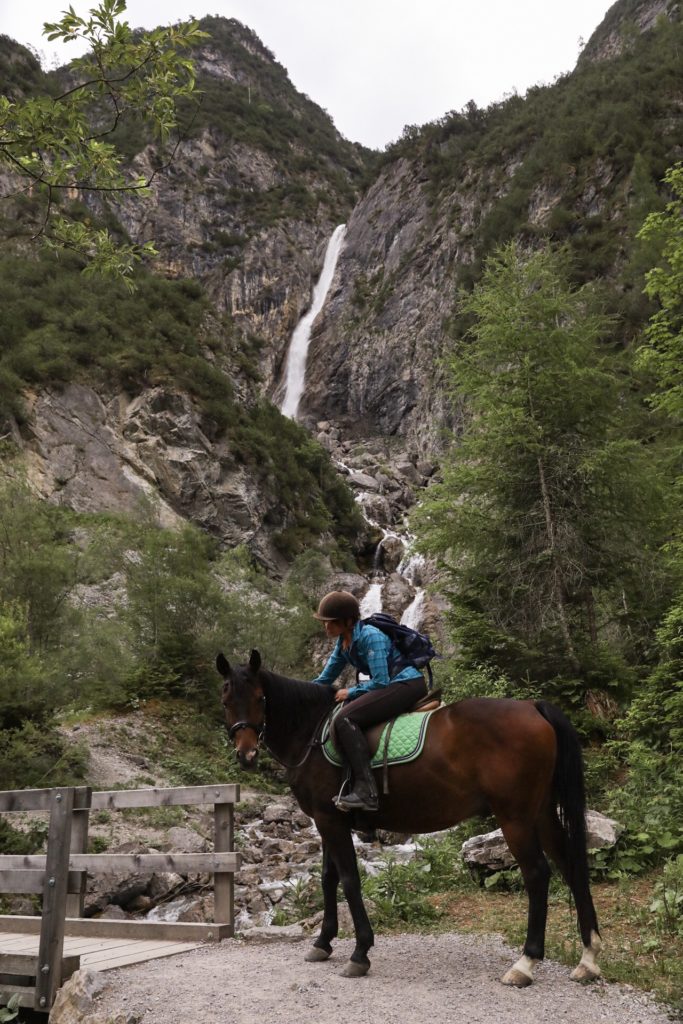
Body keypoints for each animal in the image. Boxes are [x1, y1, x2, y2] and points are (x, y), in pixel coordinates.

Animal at [216, 651, 602, 987]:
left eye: (261, 699)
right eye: (226, 700)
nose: (246, 754)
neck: (313, 731)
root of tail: (531, 706)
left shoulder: (329, 821)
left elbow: (349, 881)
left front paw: (360, 953)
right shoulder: (328, 822)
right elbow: (328, 879)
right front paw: (323, 943)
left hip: (515, 817)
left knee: (537, 874)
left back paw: (525, 962)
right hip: (541, 814)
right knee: (571, 867)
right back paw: (588, 958)